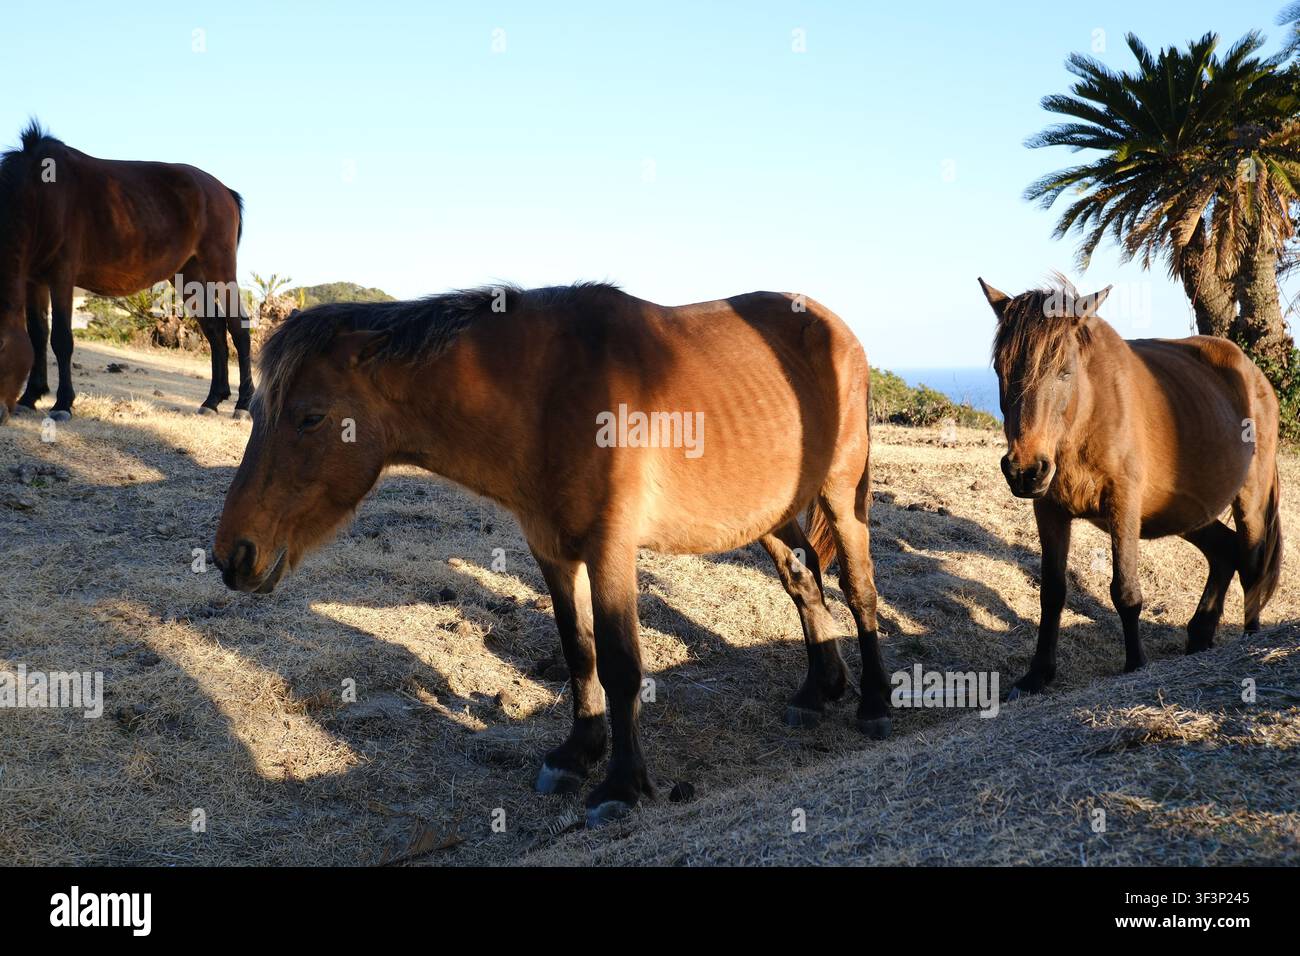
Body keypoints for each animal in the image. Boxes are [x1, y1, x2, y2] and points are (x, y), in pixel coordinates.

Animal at [0, 120, 252, 422]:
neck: (41, 195)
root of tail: (225, 191)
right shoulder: (34, 280)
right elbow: (37, 335)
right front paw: (30, 397)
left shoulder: (61, 276)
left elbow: (61, 339)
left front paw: (62, 404)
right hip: (190, 276)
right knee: (214, 329)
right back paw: (212, 400)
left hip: (220, 269)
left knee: (238, 327)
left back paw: (243, 406)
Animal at [213, 282, 890, 826]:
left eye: (310, 417)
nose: (232, 555)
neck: (547, 394)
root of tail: (835, 328)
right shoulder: (553, 552)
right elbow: (577, 650)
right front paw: (579, 753)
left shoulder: (610, 550)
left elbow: (619, 663)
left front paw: (621, 785)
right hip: (769, 512)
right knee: (805, 580)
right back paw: (818, 690)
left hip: (839, 493)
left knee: (859, 590)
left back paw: (876, 703)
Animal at [978, 277, 1283, 699]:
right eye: (1000, 368)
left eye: (1064, 371)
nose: (1025, 470)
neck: (1085, 416)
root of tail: (1254, 375)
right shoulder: (1049, 508)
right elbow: (1051, 592)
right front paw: (1037, 675)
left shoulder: (1123, 504)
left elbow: (1125, 591)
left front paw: (1135, 664)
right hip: (1185, 509)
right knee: (1224, 551)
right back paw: (1200, 633)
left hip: (1249, 496)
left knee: (1251, 564)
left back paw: (1249, 639)